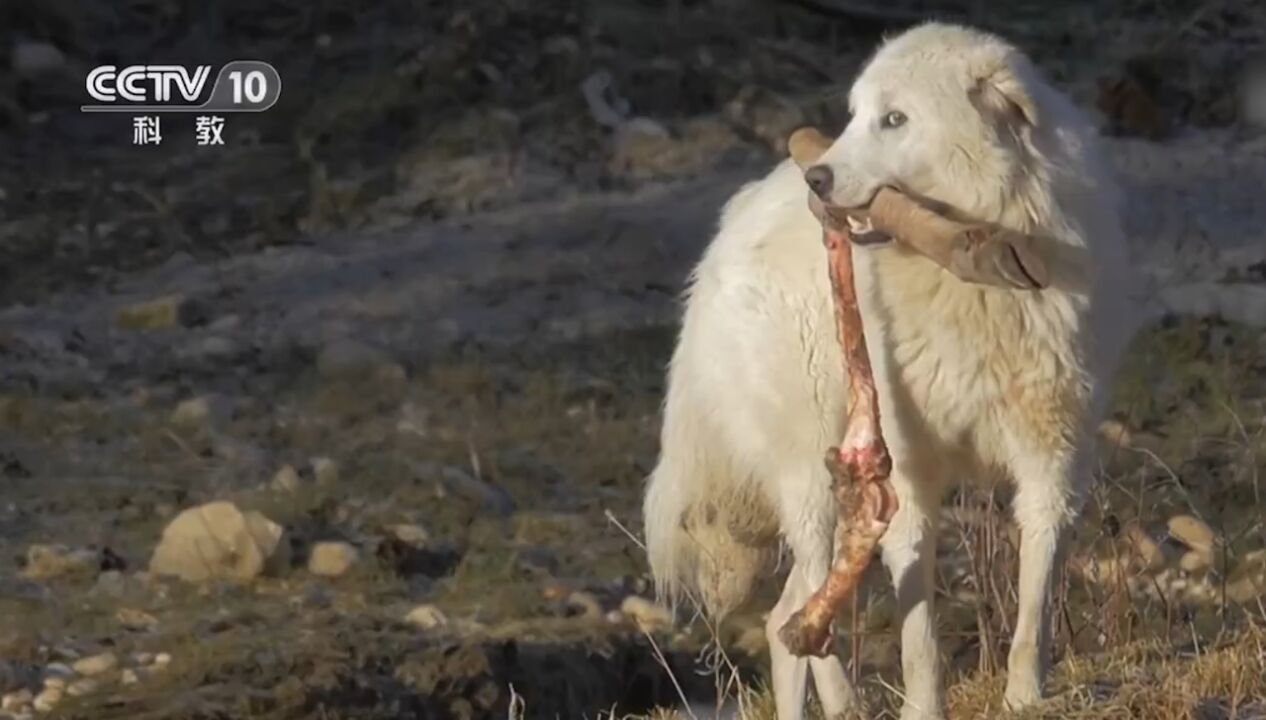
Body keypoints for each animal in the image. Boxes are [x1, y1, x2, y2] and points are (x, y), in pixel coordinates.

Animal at [643, 22, 1139, 718]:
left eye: (894, 119)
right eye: (854, 115)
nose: (818, 178)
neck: (971, 278)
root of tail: (729, 226)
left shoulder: (1053, 454)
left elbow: (1036, 600)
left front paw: (1025, 697)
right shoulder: (905, 472)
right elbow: (918, 634)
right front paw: (924, 707)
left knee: (783, 618)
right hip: (812, 476)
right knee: (805, 606)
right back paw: (844, 702)